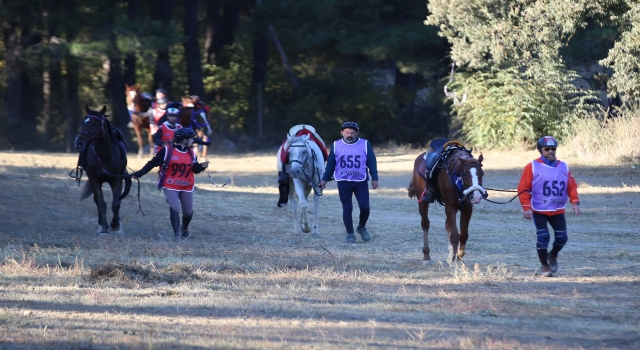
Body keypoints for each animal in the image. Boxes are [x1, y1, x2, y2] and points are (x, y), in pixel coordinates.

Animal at [74, 104, 131, 235]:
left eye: (94, 124)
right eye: (83, 122)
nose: (78, 143)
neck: (105, 156)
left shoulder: (117, 179)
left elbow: (116, 203)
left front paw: (115, 224)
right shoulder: (94, 179)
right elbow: (101, 203)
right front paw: (104, 227)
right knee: (97, 200)